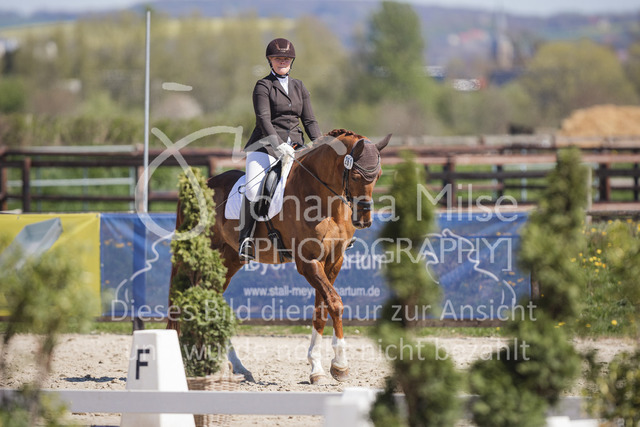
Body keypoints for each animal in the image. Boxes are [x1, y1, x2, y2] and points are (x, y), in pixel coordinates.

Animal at [169, 129, 390, 384]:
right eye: (354, 175)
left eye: (378, 175)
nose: (364, 221)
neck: (322, 197)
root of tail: (201, 185)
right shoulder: (308, 263)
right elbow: (335, 303)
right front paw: (340, 366)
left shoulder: (334, 261)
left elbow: (321, 310)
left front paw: (318, 368)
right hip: (206, 254)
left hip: (229, 260)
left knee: (210, 299)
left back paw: (234, 366)